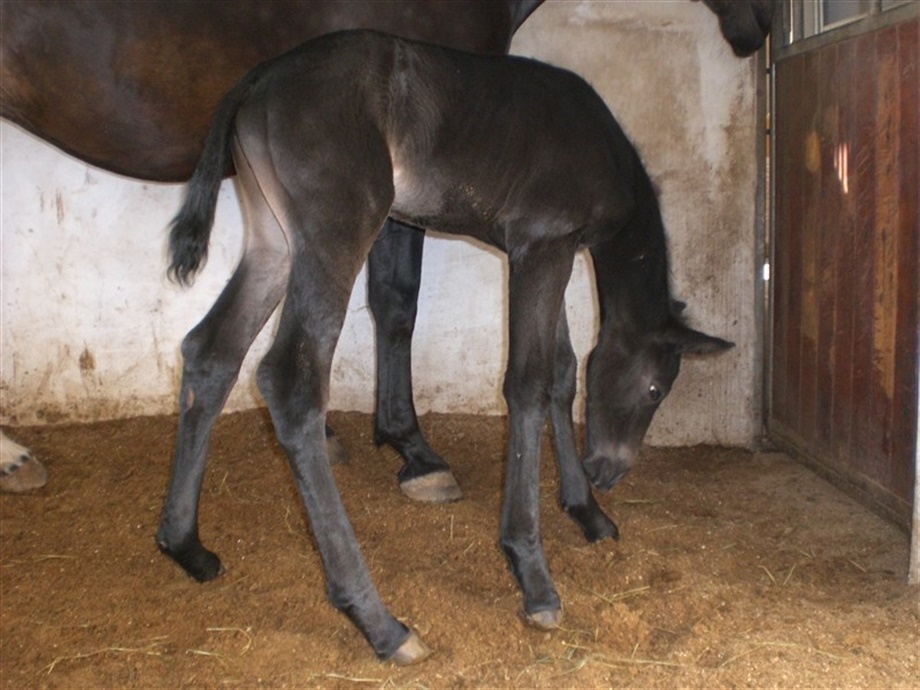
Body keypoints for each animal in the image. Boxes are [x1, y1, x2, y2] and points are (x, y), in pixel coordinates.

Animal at [157, 30, 734, 663]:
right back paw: (380, 622)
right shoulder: (543, 244)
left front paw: (587, 510)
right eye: (655, 388)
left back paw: (185, 545)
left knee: (211, 351)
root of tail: (259, 78)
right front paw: (533, 575)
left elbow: (562, 372)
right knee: (289, 382)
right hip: (336, 230)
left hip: (274, 240)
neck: (605, 151)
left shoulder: (542, 253)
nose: (610, 470)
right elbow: (528, 385)